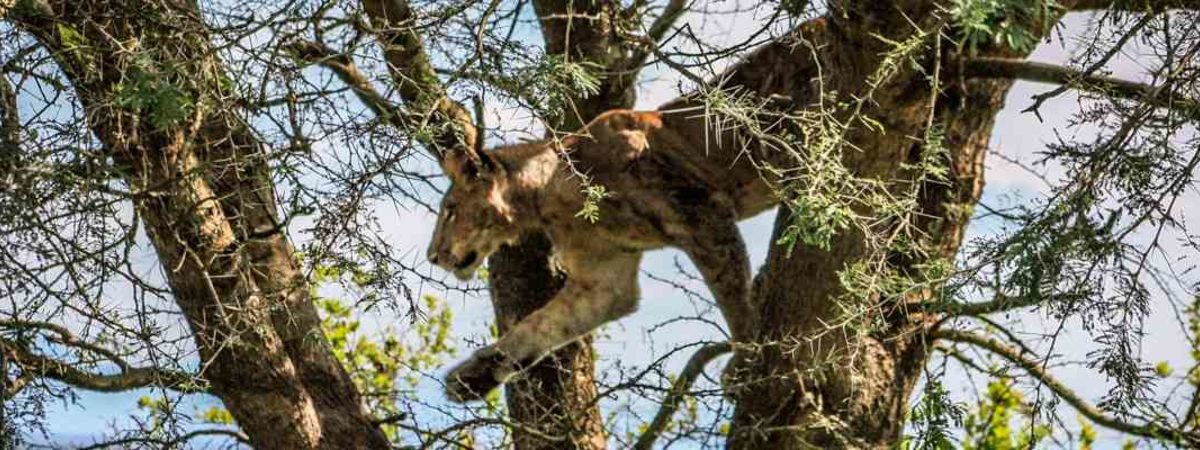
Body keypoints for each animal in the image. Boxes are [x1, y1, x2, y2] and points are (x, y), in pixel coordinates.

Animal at [427, 108, 772, 400]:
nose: (432, 256)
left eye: (451, 210)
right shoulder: (603, 279)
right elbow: (542, 323)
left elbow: (734, 299)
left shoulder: (701, 213)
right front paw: (475, 376)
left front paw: (745, 363)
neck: (546, 192)